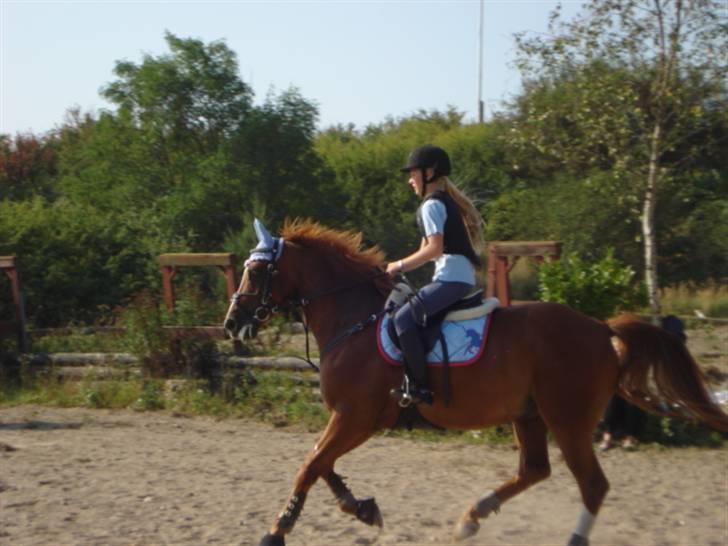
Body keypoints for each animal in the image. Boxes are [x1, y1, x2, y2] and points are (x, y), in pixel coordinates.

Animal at [223, 218, 728, 544]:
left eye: (256, 270)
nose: (231, 324)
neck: (354, 319)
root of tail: (601, 328)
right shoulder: (352, 419)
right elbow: (320, 462)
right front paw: (362, 508)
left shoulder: (356, 417)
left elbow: (310, 465)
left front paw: (277, 530)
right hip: (529, 414)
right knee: (535, 470)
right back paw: (472, 518)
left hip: (567, 418)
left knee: (592, 485)